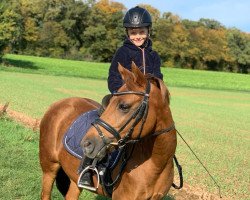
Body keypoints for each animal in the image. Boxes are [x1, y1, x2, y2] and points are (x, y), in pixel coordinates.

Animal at [39, 63, 176, 200]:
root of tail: (59, 104)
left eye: (124, 106)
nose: (86, 143)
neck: (157, 164)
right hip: (49, 168)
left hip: (74, 179)